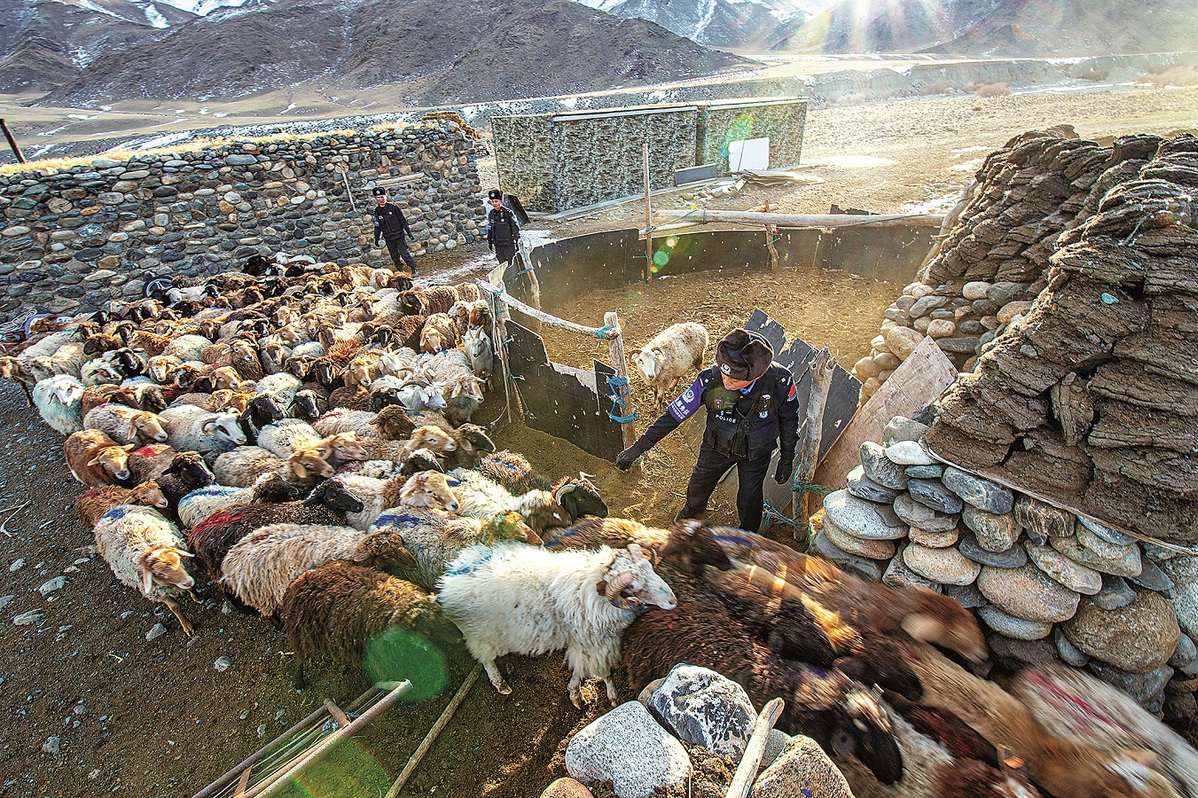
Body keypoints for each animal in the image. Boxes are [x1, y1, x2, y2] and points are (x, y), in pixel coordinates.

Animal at [92, 503, 195, 632]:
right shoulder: (156, 593)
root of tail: (112, 509)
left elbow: (190, 589)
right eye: (160, 574)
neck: (148, 550)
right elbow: (174, 607)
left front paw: (197, 597)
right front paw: (187, 626)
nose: (188, 581)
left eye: (179, 559)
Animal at [220, 522, 416, 613]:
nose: (413, 563)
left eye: (402, 543)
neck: (349, 545)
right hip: (262, 595)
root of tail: (227, 563)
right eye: (387, 554)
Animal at [277, 558, 455, 685]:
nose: (458, 637)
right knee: (299, 657)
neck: (394, 600)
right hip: (300, 634)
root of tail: (299, 580)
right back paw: (299, 682)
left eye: (439, 612)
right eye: (425, 630)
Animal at [438, 541, 680, 704]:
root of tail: (449, 578)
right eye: (635, 587)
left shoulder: (583, 645)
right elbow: (605, 673)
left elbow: (579, 670)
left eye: (650, 568)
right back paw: (500, 683)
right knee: (485, 658)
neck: (590, 589)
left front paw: (574, 692)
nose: (672, 600)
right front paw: (611, 697)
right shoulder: (596, 645)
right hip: (483, 634)